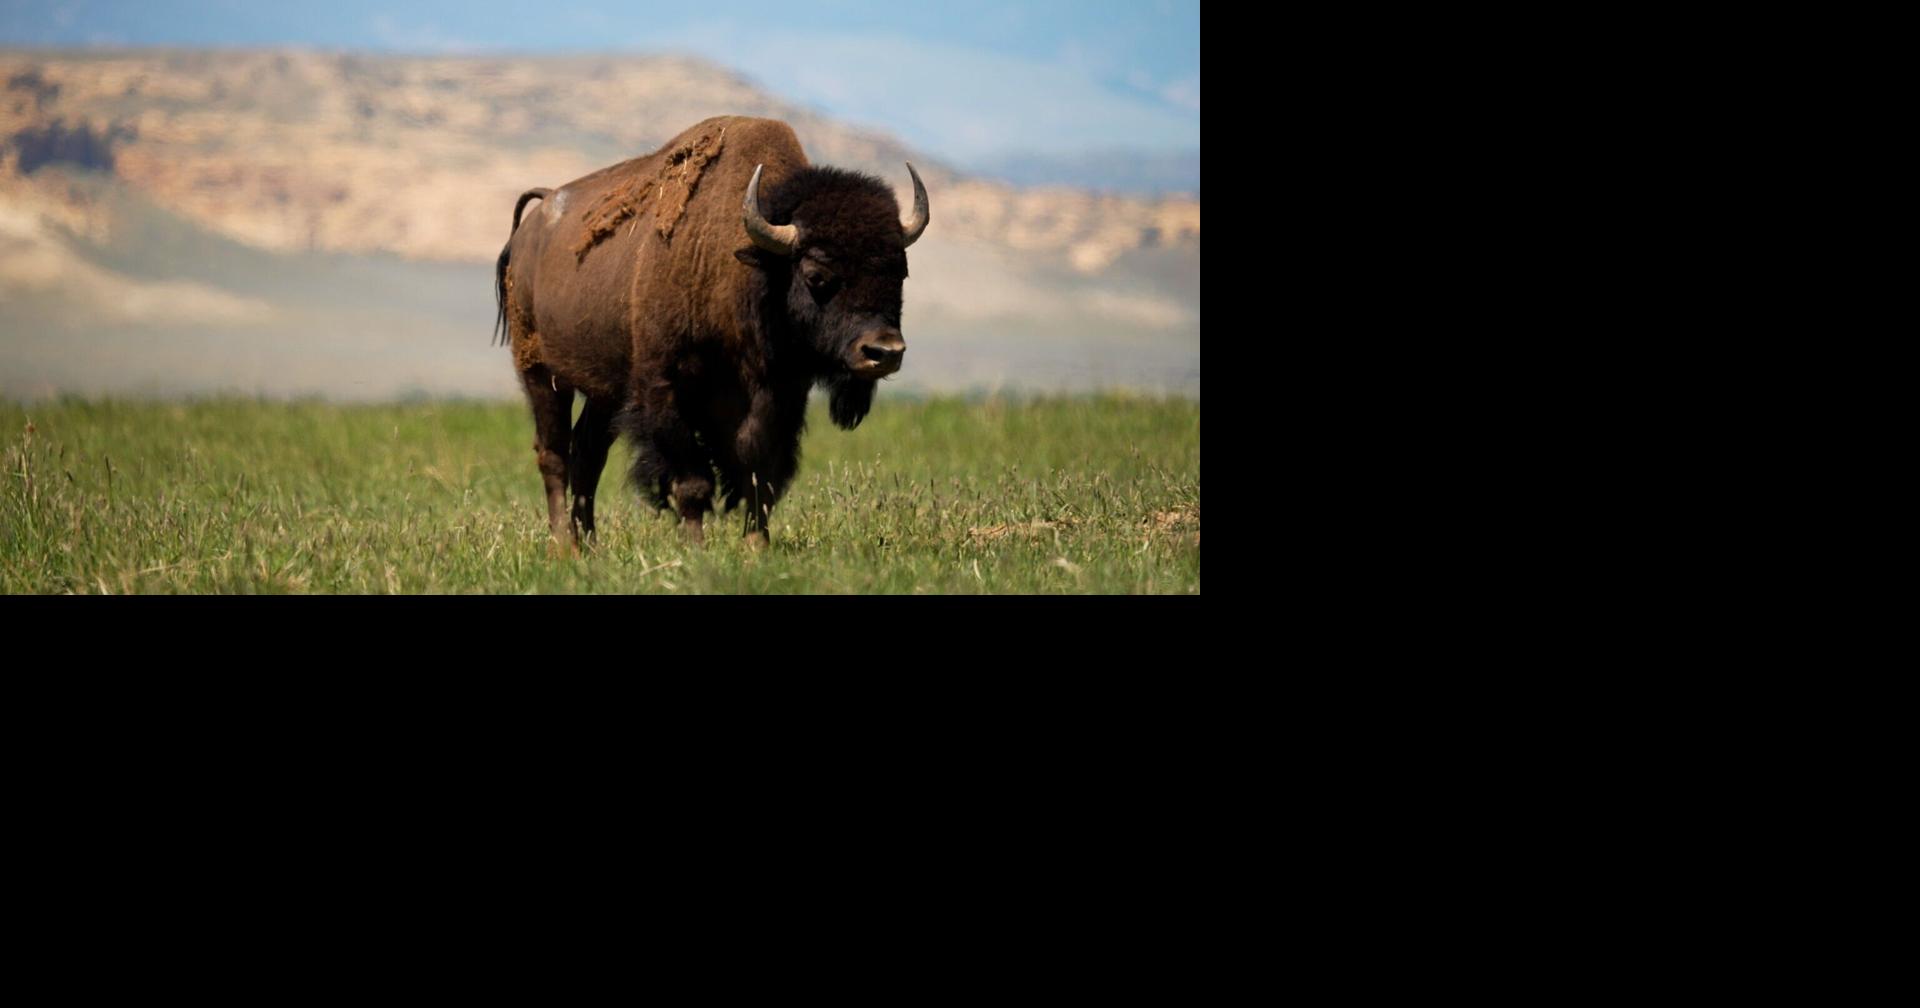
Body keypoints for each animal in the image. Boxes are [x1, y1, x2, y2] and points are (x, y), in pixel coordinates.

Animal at [492, 116, 929, 551]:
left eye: (901, 272)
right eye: (816, 275)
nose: (884, 351)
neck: (747, 268)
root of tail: (533, 223)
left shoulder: (778, 395)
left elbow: (759, 472)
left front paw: (756, 546)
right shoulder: (665, 389)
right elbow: (692, 480)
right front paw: (696, 549)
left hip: (605, 391)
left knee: (587, 453)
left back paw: (590, 544)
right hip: (541, 373)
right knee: (553, 454)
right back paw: (565, 546)